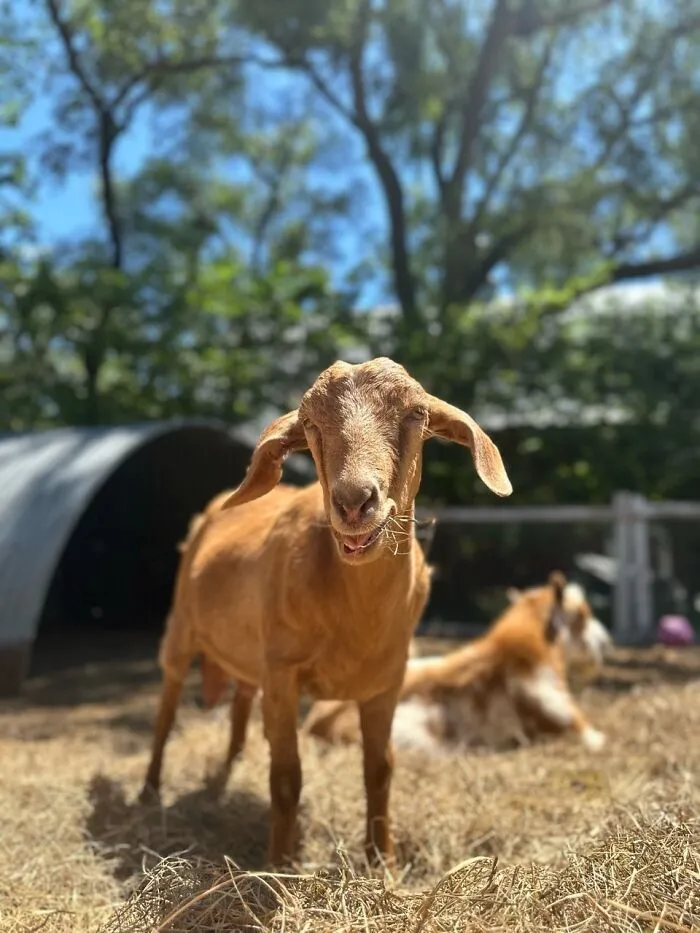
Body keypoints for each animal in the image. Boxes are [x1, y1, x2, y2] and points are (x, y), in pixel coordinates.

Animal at [140, 357, 512, 867]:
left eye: (417, 413)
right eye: (311, 424)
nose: (354, 501)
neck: (356, 614)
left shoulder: (386, 682)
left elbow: (380, 771)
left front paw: (382, 863)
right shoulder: (283, 675)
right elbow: (285, 778)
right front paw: (279, 867)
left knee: (239, 702)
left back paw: (229, 769)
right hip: (181, 629)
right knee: (166, 709)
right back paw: (149, 790)